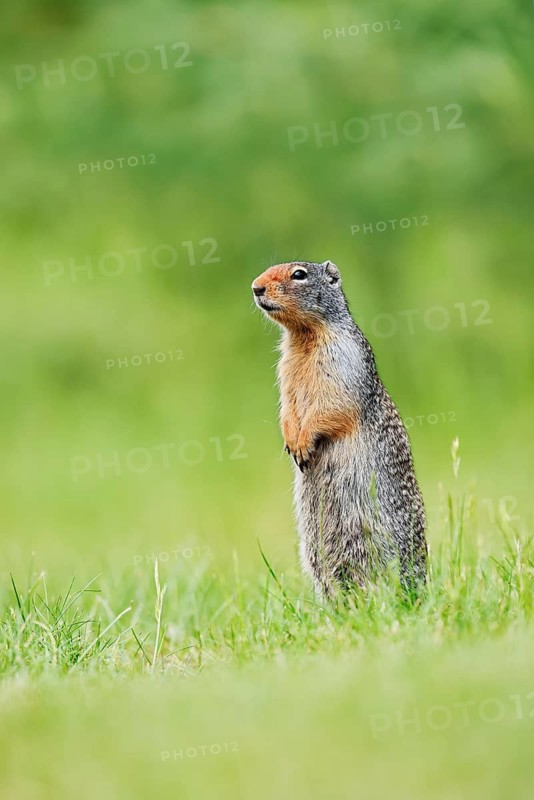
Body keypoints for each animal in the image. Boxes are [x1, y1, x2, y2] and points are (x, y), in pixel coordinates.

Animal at [252, 259, 427, 597]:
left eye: (299, 274)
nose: (255, 287)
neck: (303, 336)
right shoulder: (286, 371)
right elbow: (287, 406)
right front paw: (290, 438)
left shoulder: (342, 360)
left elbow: (333, 405)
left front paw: (303, 442)